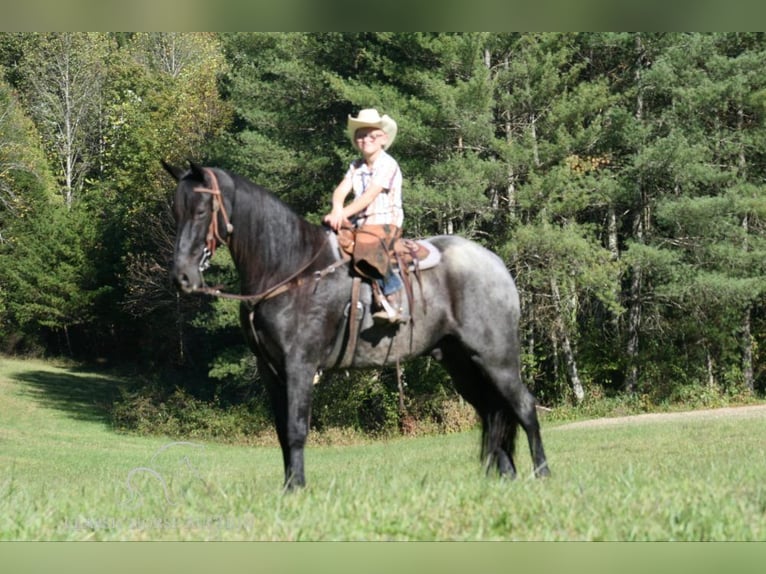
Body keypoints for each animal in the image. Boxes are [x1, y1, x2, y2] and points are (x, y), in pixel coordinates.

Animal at [165, 161, 548, 490]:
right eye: (177, 212)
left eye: (201, 211)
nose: (182, 277)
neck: (289, 270)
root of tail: (497, 265)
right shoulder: (271, 371)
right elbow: (281, 432)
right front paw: (288, 487)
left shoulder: (300, 366)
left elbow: (296, 429)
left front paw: (297, 489)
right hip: (461, 363)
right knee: (492, 412)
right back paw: (507, 477)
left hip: (496, 358)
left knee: (523, 406)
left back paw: (542, 473)